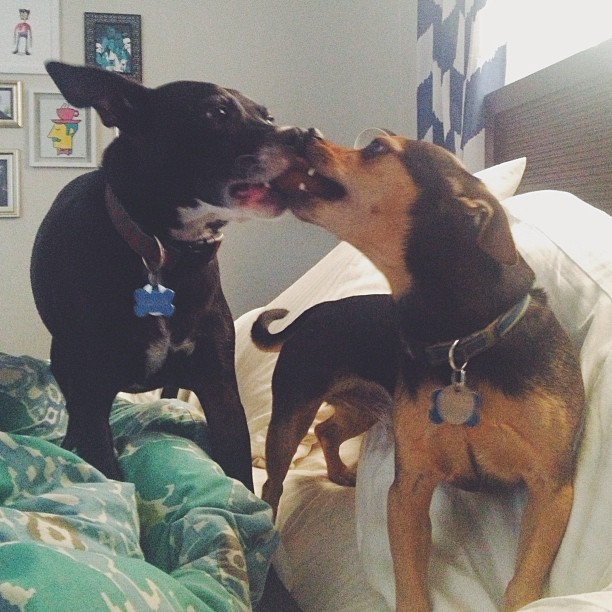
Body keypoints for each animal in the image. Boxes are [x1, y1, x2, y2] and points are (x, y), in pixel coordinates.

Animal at [30, 59, 304, 486]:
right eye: (216, 113)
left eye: (267, 116)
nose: (306, 136)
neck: (162, 255)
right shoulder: (92, 392)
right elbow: (106, 464)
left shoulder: (221, 390)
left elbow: (239, 471)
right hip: (64, 358)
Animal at [252, 135, 584, 612]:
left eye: (375, 146)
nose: (301, 133)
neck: (462, 349)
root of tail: (309, 315)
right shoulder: (409, 487)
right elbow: (408, 582)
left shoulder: (551, 486)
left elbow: (524, 583)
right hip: (291, 413)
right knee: (274, 483)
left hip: (362, 409)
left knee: (327, 431)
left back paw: (339, 474)